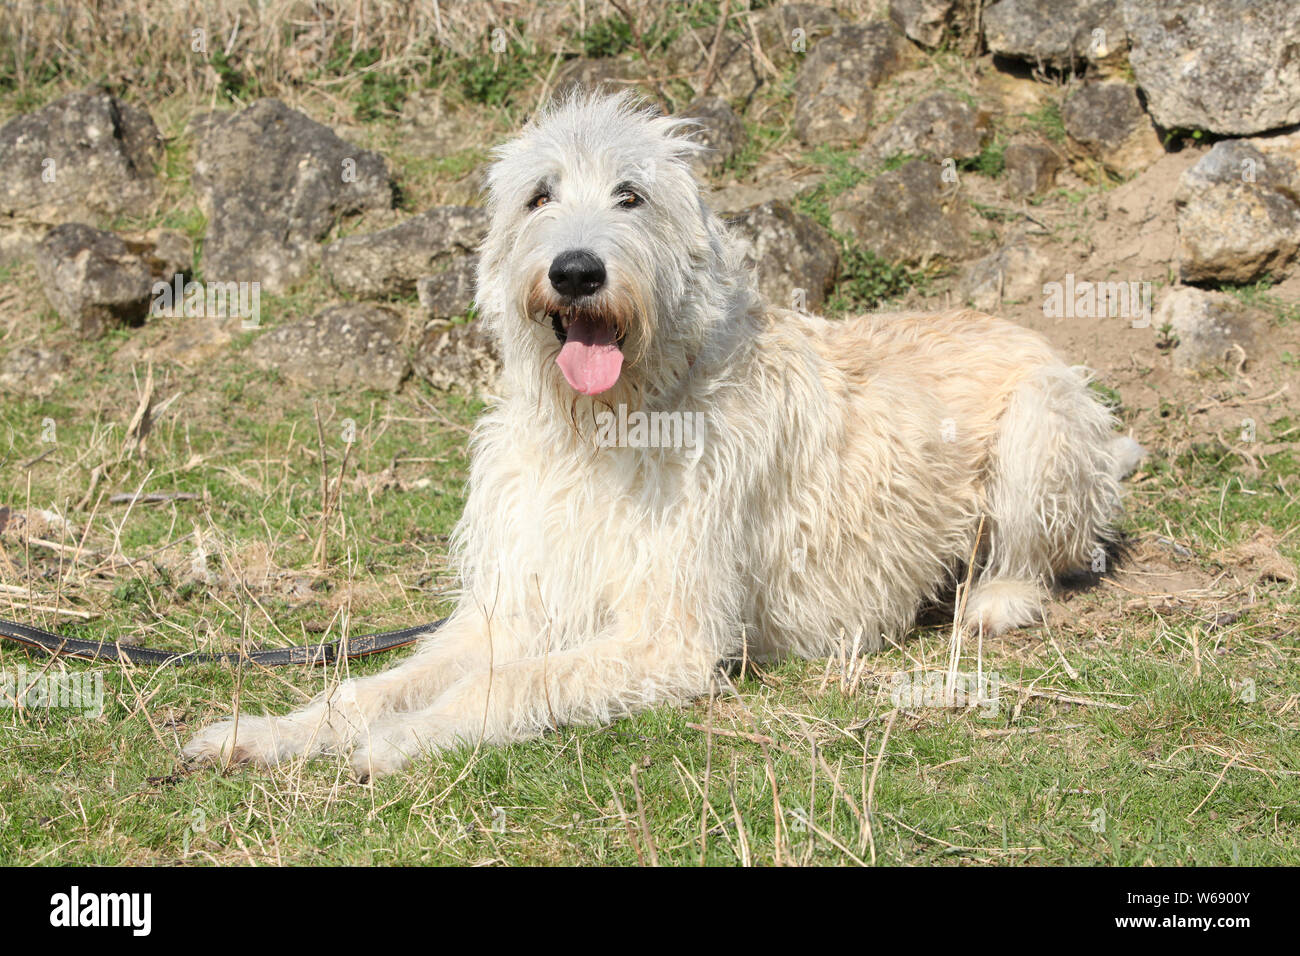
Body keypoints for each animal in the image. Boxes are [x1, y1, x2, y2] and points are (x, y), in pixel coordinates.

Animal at [183, 91, 1138, 780]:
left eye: (631, 195)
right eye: (538, 195)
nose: (576, 271)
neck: (605, 424)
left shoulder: (668, 638)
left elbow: (520, 680)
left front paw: (405, 739)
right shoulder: (518, 603)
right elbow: (381, 681)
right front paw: (272, 732)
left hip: (1044, 424)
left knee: (1038, 555)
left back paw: (996, 598)